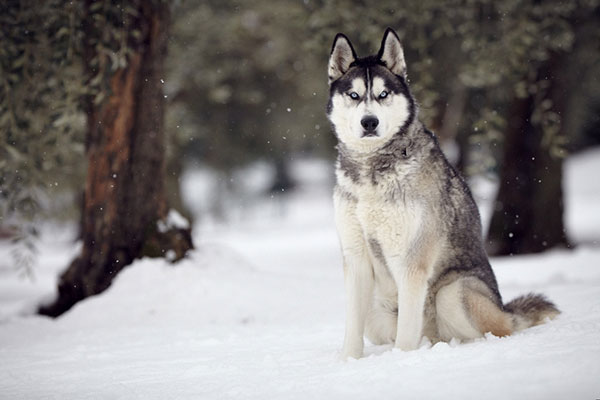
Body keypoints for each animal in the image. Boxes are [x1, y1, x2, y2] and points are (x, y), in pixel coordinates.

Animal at [328, 28, 556, 360]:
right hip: (376, 309)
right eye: (354, 95)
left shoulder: (411, 262)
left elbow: (406, 336)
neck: (372, 170)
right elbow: (351, 334)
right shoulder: (355, 257)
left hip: (453, 293)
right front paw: (348, 363)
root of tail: (505, 309)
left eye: (383, 94)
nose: (369, 122)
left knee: (497, 329)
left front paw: (402, 360)